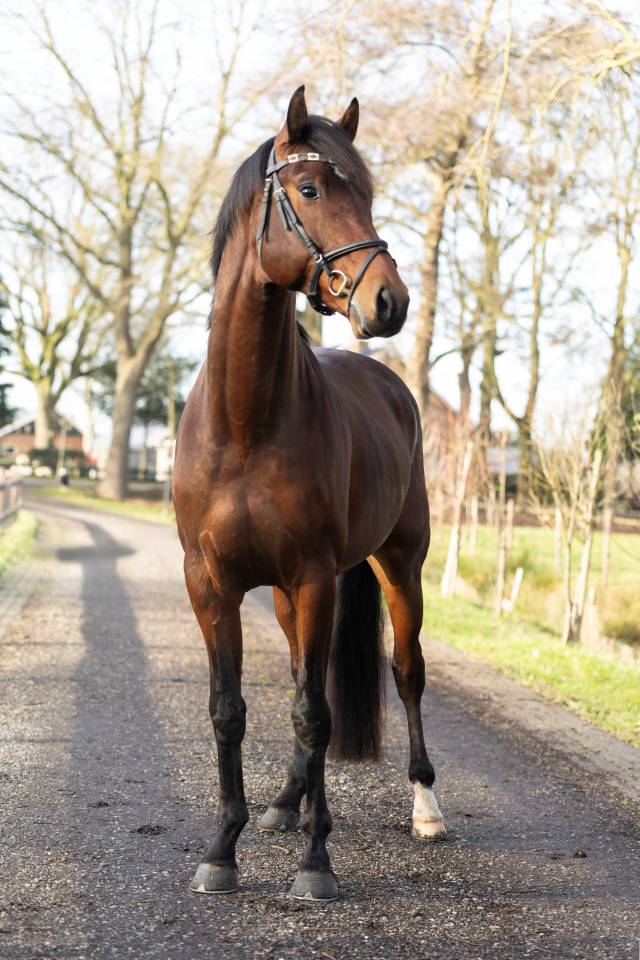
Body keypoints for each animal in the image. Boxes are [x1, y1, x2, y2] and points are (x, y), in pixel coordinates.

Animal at [173, 85, 446, 903]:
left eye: (367, 191)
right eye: (310, 189)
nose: (389, 301)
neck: (247, 424)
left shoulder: (316, 577)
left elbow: (315, 714)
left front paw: (316, 863)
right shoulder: (212, 584)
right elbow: (230, 711)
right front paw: (222, 849)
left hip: (399, 567)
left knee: (405, 673)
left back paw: (425, 806)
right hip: (293, 596)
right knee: (306, 674)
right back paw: (286, 803)